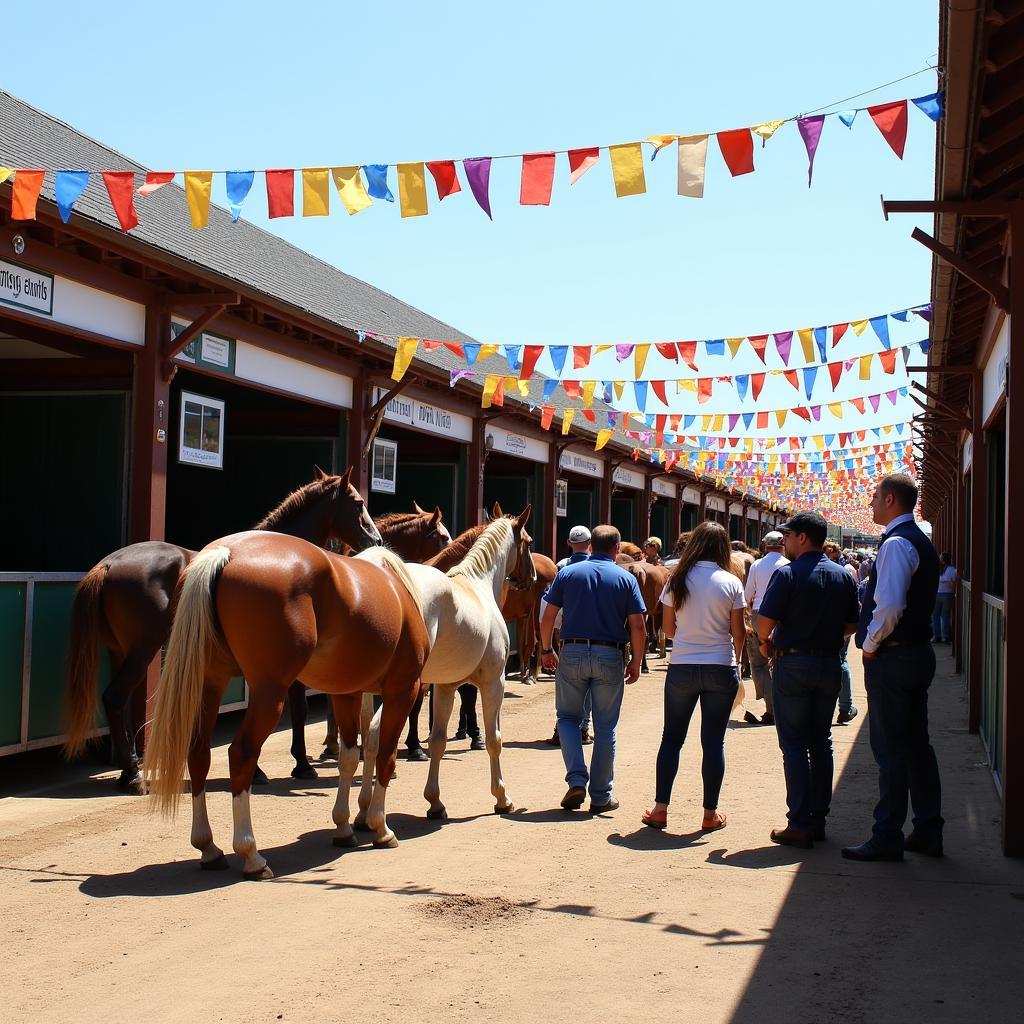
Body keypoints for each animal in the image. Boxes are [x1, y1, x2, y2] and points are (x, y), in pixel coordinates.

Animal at [64, 466, 385, 790]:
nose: (377, 540)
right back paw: (132, 773)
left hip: (120, 651)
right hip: (143, 649)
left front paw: (272, 768)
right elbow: (298, 709)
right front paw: (300, 765)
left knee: (120, 703)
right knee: (116, 697)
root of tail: (108, 564)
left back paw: (126, 769)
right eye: (358, 503)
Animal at [143, 528, 428, 880]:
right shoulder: (403, 690)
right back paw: (251, 855)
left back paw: (209, 848)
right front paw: (381, 828)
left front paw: (344, 827)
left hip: (211, 683)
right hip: (270, 694)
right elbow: (386, 757)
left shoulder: (346, 693)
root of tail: (225, 552)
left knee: (198, 755)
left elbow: (349, 757)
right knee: (241, 755)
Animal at [339, 505, 540, 847]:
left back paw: (361, 814)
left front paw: (435, 802)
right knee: (378, 737)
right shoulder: (493, 683)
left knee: (364, 742)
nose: (534, 577)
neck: (477, 585)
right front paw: (502, 797)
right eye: (527, 541)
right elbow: (494, 740)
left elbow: (438, 741)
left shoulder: (445, 687)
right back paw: (376, 822)